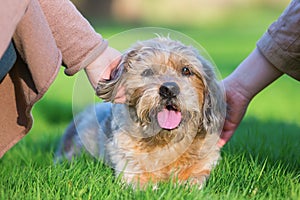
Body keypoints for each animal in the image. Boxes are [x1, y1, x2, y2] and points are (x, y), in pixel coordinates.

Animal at [55, 37, 225, 189]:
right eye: (148, 72)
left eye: (186, 70)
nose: (169, 89)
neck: (166, 141)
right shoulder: (130, 170)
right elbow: (144, 186)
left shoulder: (203, 165)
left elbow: (195, 179)